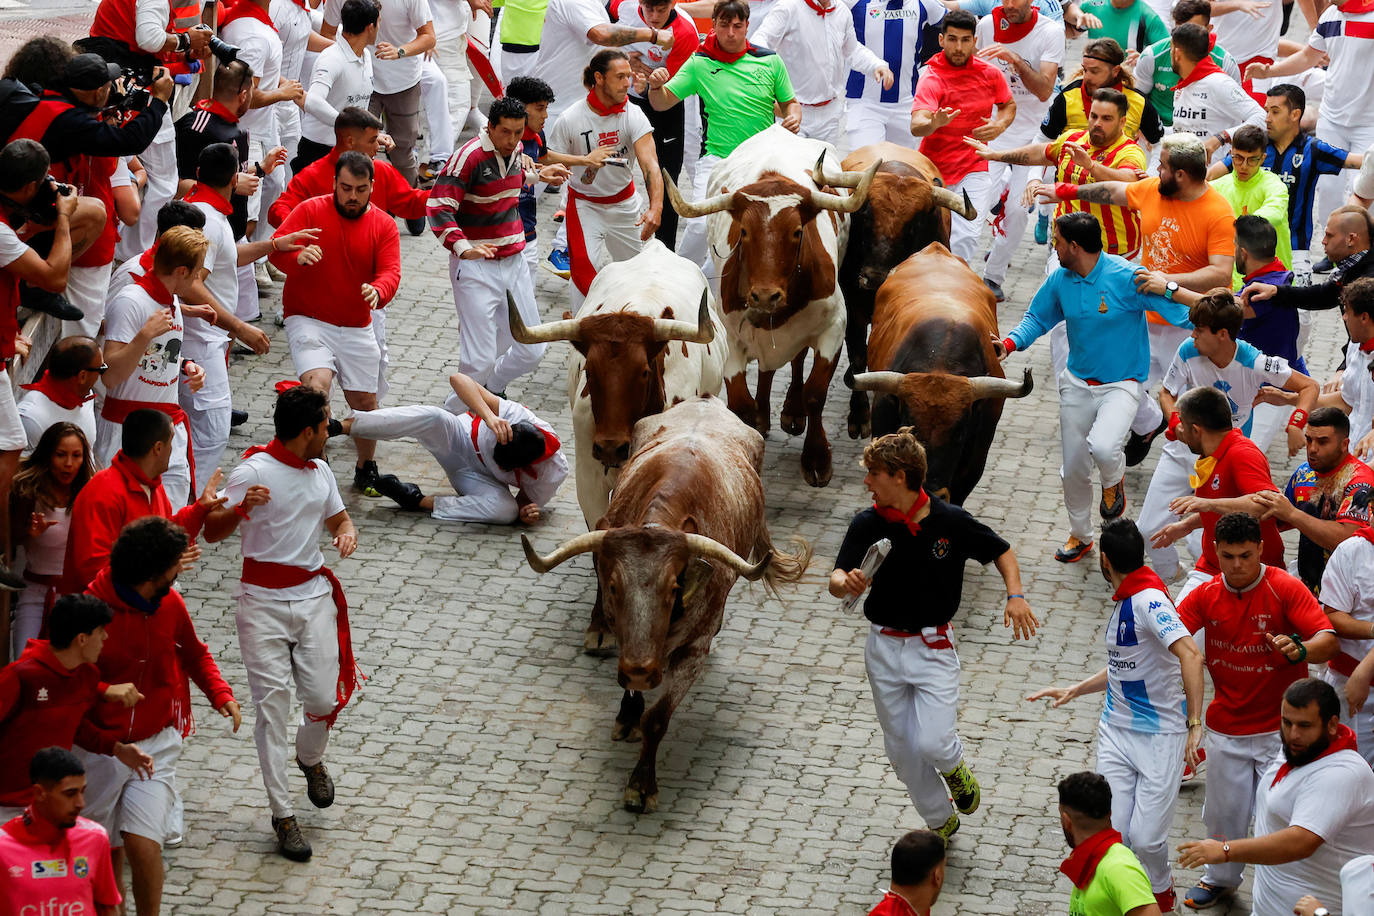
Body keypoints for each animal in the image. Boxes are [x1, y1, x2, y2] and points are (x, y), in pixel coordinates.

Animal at [519, 398, 807, 813]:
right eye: (612, 586)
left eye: (674, 588)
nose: (640, 671)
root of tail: (706, 401)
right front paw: (628, 715)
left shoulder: (693, 651)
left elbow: (657, 718)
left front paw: (641, 785)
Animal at [659, 127, 873, 494]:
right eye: (744, 232)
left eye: (798, 231)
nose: (764, 296)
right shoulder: (730, 340)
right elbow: (741, 406)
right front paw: (753, 432)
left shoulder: (833, 328)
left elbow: (815, 393)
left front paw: (817, 460)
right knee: (768, 370)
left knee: (795, 361)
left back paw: (791, 411)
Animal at [813, 143, 978, 439]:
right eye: (865, 214)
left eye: (914, 224)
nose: (874, 277)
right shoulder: (852, 307)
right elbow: (858, 356)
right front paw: (859, 416)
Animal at [846, 243, 1033, 505]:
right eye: (911, 429)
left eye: (960, 432)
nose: (932, 491)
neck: (941, 361)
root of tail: (936, 249)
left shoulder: (976, 459)